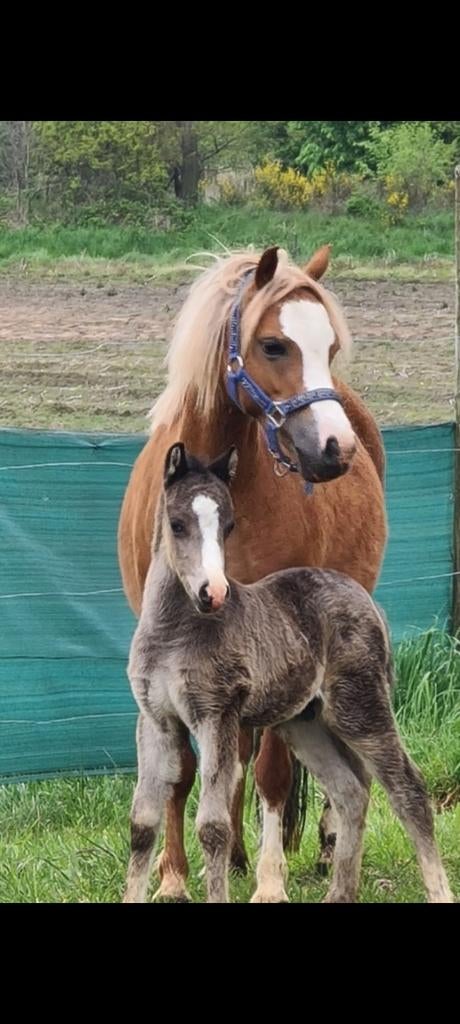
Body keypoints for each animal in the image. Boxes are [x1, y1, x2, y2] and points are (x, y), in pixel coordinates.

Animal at [118, 244, 387, 903]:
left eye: (330, 347)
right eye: (274, 345)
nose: (336, 449)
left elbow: (271, 771)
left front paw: (270, 882)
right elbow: (185, 771)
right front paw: (173, 876)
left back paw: (315, 845)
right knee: (235, 752)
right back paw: (236, 853)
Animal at [123, 443, 452, 904]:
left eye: (229, 525)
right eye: (177, 524)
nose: (213, 593)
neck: (173, 633)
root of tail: (367, 600)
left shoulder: (217, 717)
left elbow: (213, 827)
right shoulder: (157, 720)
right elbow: (143, 823)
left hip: (359, 708)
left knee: (408, 790)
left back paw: (438, 891)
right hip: (305, 723)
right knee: (351, 792)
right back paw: (339, 895)